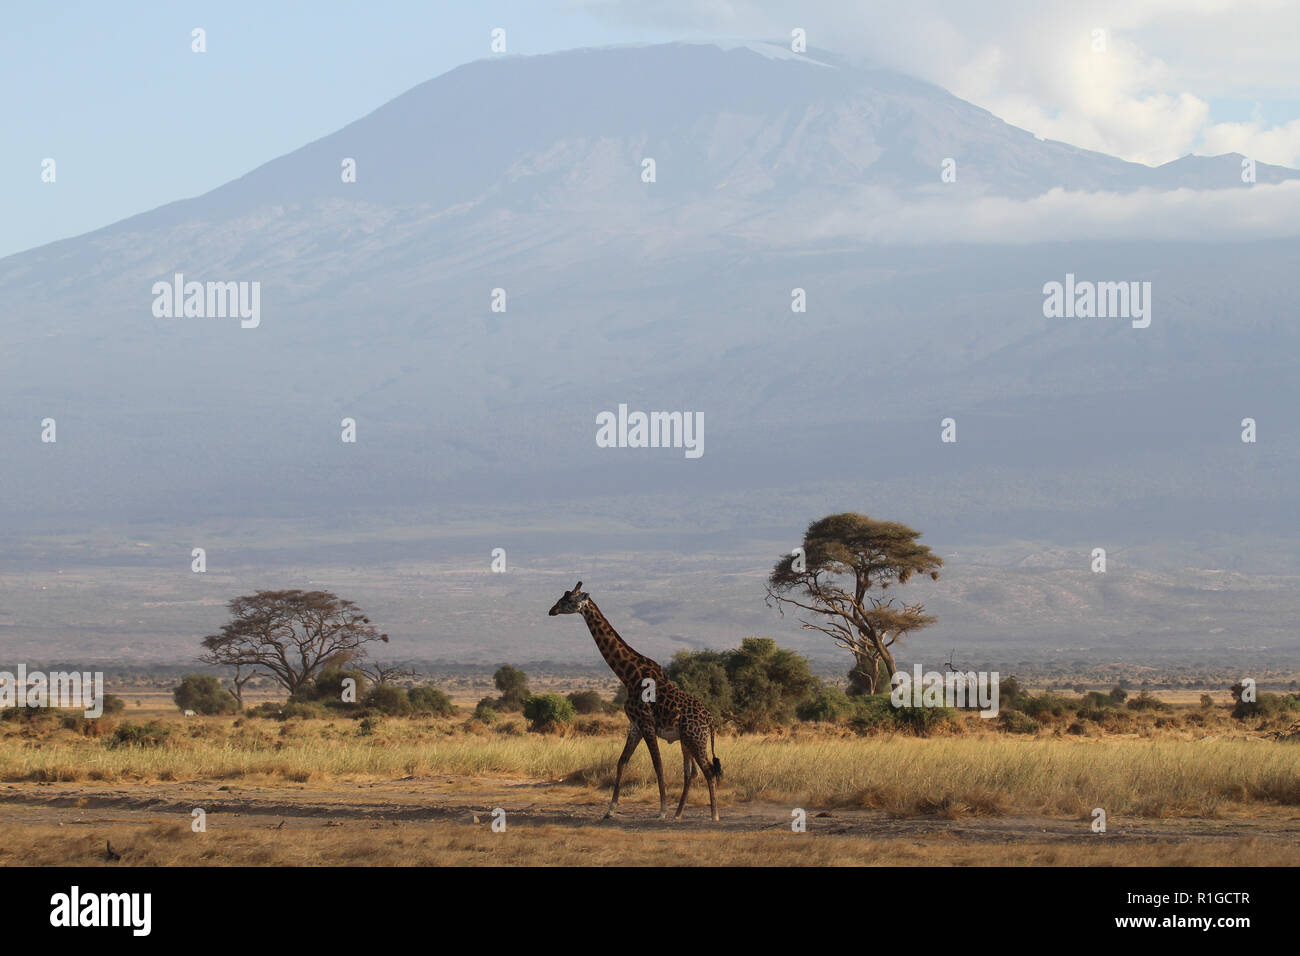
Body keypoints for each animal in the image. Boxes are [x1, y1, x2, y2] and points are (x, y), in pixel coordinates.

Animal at [543, 582, 717, 822]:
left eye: (568, 600)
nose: (552, 610)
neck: (628, 675)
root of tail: (710, 721)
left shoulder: (646, 723)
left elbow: (658, 764)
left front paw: (662, 811)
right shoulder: (634, 725)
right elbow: (621, 762)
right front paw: (610, 810)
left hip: (695, 738)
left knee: (709, 770)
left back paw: (714, 815)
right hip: (687, 739)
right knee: (691, 772)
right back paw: (679, 814)